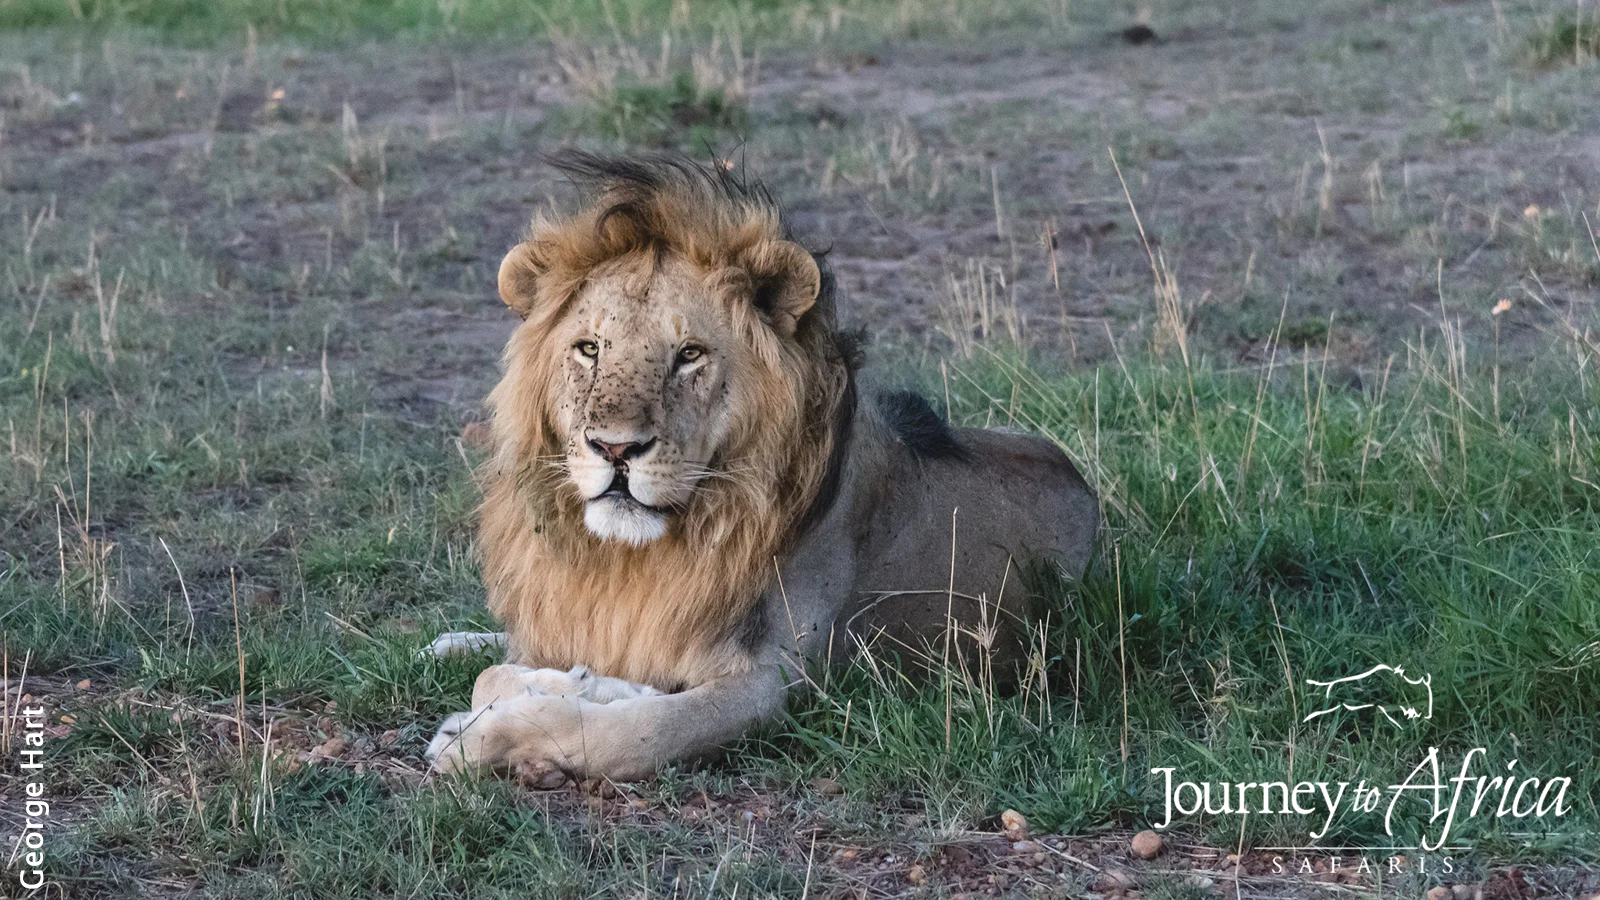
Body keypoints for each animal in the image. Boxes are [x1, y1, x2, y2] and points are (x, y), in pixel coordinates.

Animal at [425, 152, 1099, 781]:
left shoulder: (777, 685)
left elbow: (633, 734)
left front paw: (481, 736)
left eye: (689, 354)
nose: (615, 449)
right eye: (589, 349)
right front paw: (546, 685)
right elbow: (507, 671)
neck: (638, 558)